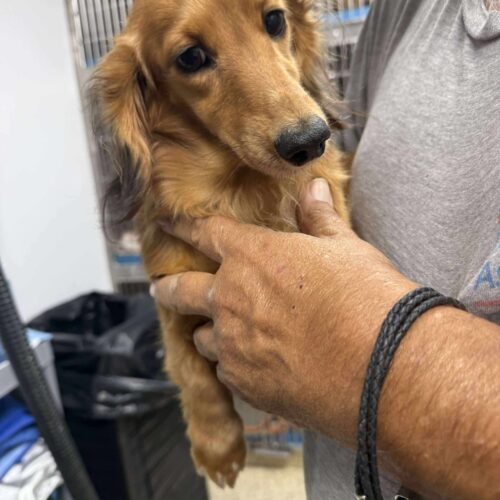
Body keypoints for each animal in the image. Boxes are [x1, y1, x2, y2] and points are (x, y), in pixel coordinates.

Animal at [92, 0, 349, 488]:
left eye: (274, 20)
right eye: (191, 57)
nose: (311, 141)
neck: (239, 191)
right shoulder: (171, 298)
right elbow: (194, 378)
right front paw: (218, 448)